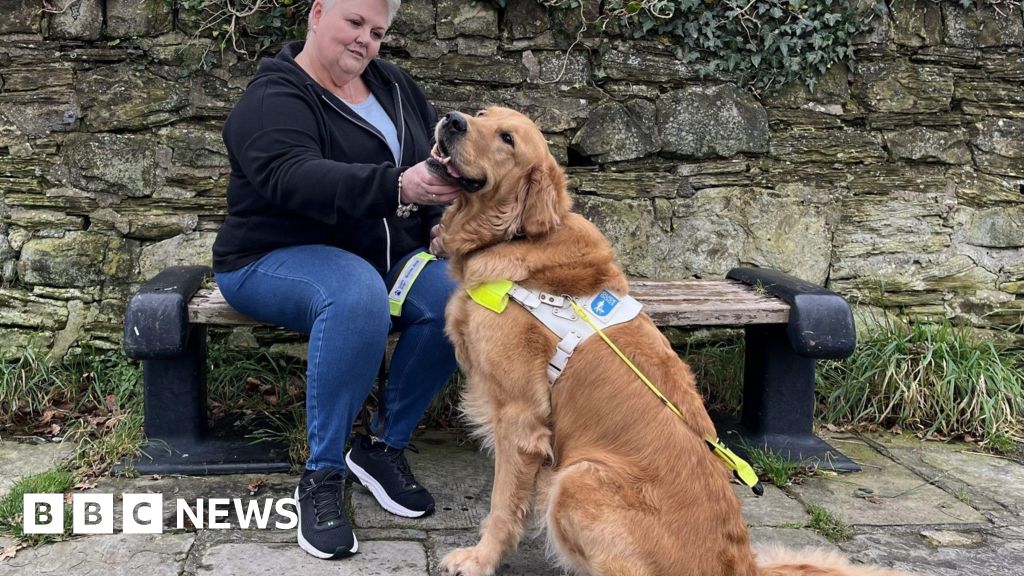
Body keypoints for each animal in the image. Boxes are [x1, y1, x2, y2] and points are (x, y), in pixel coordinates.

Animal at [428, 106, 909, 573]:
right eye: (483, 114)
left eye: (507, 139)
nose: (452, 119)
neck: (514, 235)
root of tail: (740, 565)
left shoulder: (519, 418)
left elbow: (502, 505)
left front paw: (480, 559)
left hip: (577, 479)